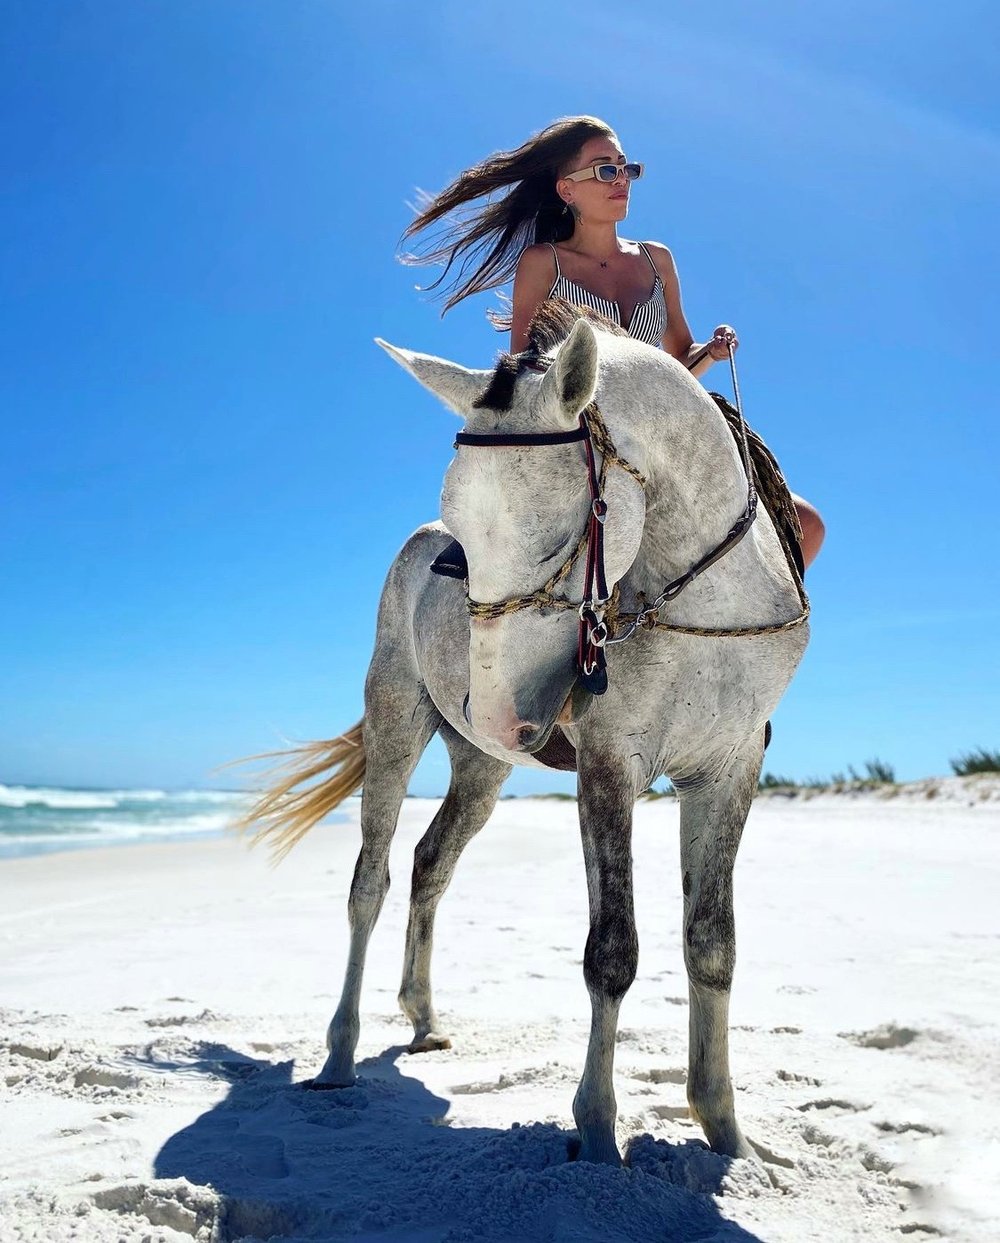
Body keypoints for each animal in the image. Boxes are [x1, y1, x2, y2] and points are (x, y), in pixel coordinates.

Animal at [243, 298, 809, 1163]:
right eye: (459, 539)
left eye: (557, 536)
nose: (495, 712)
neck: (699, 596)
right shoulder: (611, 763)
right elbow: (613, 950)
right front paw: (599, 1135)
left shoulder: (731, 765)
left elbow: (713, 943)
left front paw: (725, 1132)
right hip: (396, 720)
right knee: (370, 881)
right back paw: (339, 1056)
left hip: (481, 768)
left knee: (431, 861)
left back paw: (424, 1019)